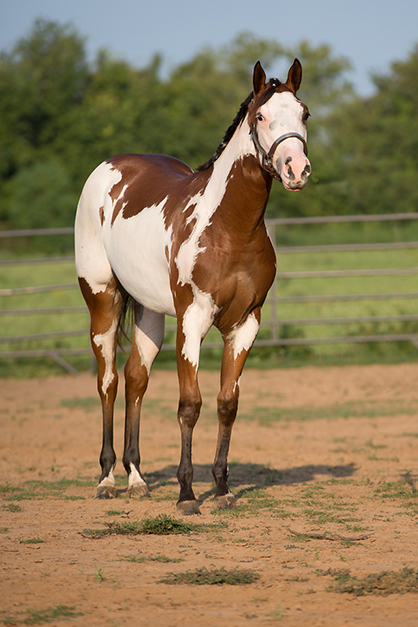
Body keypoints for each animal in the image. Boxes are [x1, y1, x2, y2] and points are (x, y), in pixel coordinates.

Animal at [74, 59, 310, 516]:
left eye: (304, 113)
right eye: (260, 116)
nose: (296, 169)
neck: (231, 227)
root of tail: (108, 169)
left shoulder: (245, 325)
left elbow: (226, 404)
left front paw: (221, 488)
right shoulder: (193, 320)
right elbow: (190, 405)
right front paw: (186, 494)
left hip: (149, 312)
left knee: (136, 378)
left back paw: (136, 479)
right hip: (102, 303)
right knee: (108, 381)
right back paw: (107, 479)